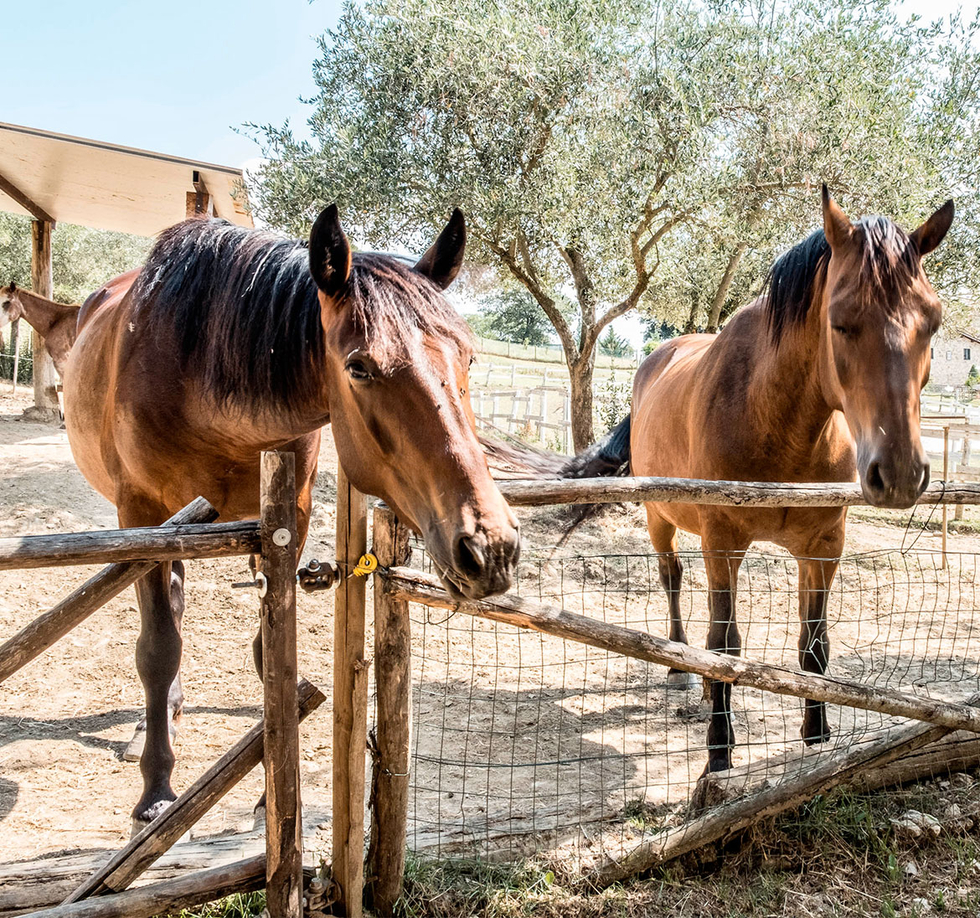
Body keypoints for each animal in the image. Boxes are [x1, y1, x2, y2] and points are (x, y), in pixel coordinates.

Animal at [63, 208, 520, 832]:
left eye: (469, 356)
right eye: (359, 367)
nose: (490, 546)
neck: (200, 376)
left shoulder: (286, 520)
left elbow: (268, 652)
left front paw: (269, 790)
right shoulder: (142, 517)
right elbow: (158, 649)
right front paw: (157, 793)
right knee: (167, 625)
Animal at [572, 190, 952, 780]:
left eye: (931, 322)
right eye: (841, 322)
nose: (900, 474)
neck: (776, 421)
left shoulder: (823, 547)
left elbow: (814, 644)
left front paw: (817, 735)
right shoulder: (723, 541)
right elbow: (726, 645)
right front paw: (719, 752)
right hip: (661, 518)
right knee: (674, 584)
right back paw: (683, 670)